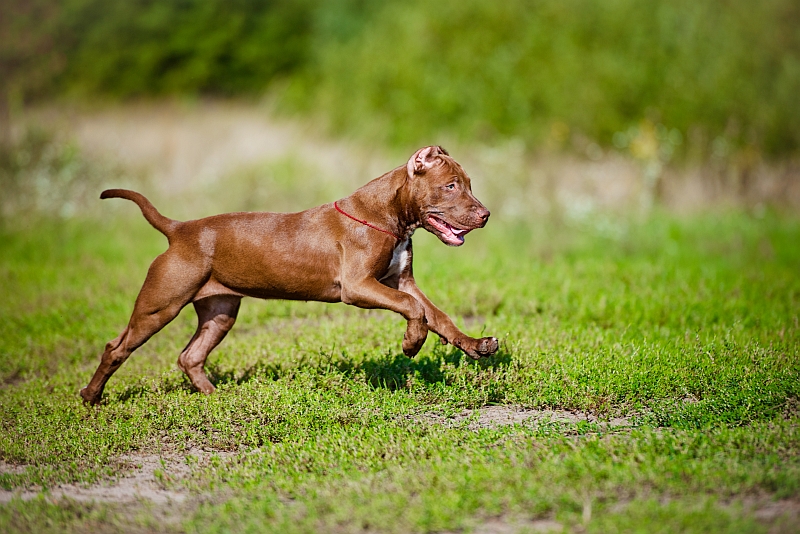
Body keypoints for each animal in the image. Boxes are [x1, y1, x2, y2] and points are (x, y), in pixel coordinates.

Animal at [79, 147, 494, 406]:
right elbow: (414, 309)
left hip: (220, 309)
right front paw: (411, 343)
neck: (390, 215)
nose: (486, 214)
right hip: (160, 304)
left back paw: (215, 398)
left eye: (469, 184)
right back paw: (91, 398)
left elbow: (436, 314)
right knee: (116, 348)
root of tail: (179, 229)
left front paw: (475, 345)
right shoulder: (359, 286)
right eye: (450, 186)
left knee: (190, 356)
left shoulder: (400, 281)